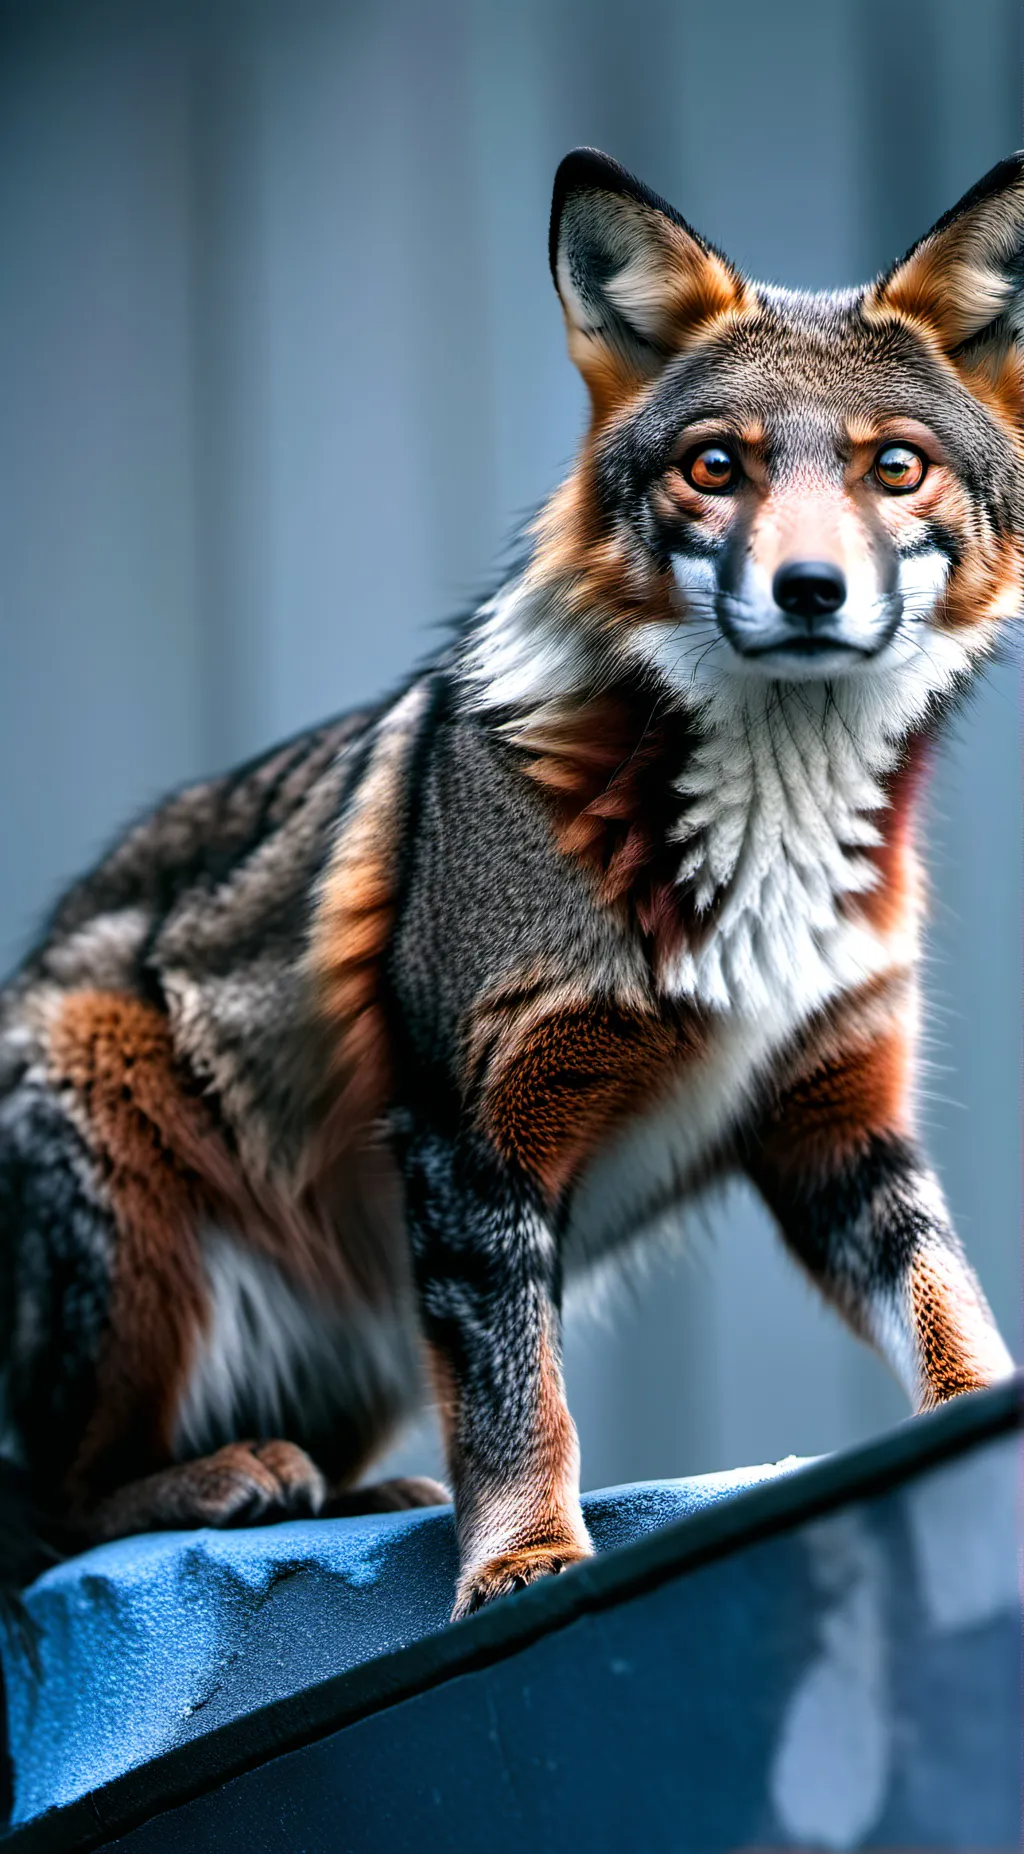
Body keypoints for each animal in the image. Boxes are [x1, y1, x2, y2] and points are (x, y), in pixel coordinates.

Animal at [0, 147, 1020, 1632]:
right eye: (715, 468)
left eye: (897, 468)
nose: (809, 590)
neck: (761, 844)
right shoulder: (470, 1132)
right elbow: (515, 1401)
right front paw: (525, 1562)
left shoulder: (839, 1122)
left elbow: (952, 1317)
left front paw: (984, 1424)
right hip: (124, 1177)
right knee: (46, 1518)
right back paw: (229, 1480)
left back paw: (343, 1490)